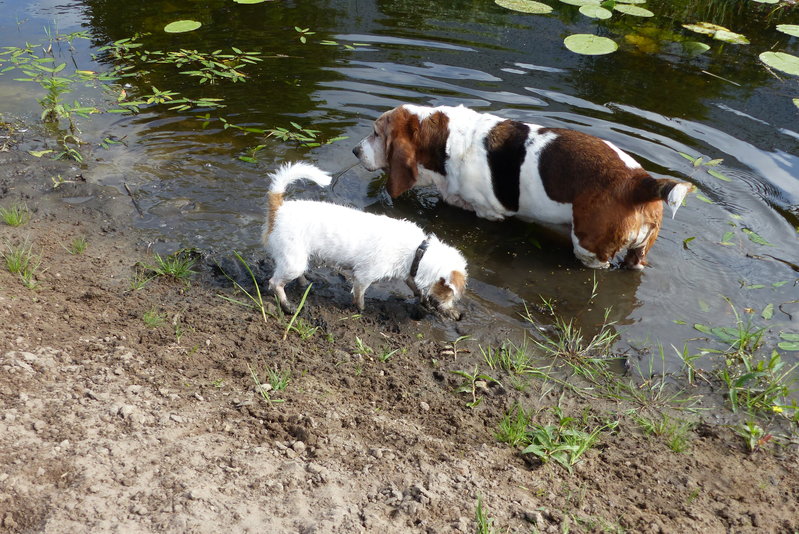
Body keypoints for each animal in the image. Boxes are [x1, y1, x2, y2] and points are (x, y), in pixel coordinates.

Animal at [260, 162, 468, 318]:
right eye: (450, 294)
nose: (460, 316)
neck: (418, 250)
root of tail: (280, 209)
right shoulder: (363, 277)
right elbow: (359, 297)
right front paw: (361, 310)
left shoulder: (409, 272)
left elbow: (414, 286)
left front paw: (424, 300)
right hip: (293, 261)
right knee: (275, 283)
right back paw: (286, 305)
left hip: (297, 258)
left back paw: (304, 282)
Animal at [354, 103, 692, 272]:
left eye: (376, 133)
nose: (355, 151)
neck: (444, 139)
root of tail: (640, 182)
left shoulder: (488, 213)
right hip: (638, 252)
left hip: (588, 248)